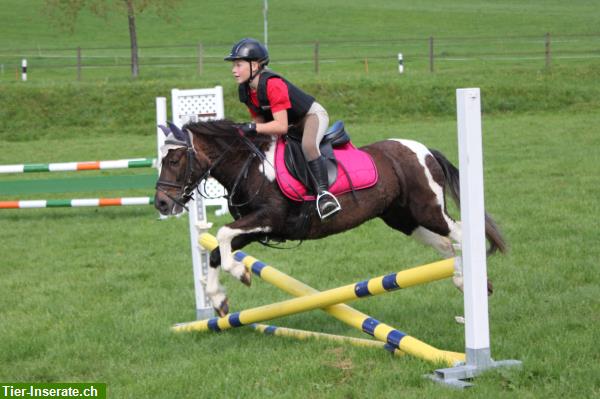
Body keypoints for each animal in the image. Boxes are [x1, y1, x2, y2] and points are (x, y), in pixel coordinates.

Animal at [152, 120, 504, 318]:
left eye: (174, 159)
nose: (161, 203)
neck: (249, 165)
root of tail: (425, 151)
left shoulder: (270, 217)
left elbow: (223, 234)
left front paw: (241, 273)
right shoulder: (259, 226)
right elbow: (215, 251)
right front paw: (219, 300)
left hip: (427, 210)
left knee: (462, 233)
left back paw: (474, 282)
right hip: (404, 220)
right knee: (447, 245)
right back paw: (463, 281)